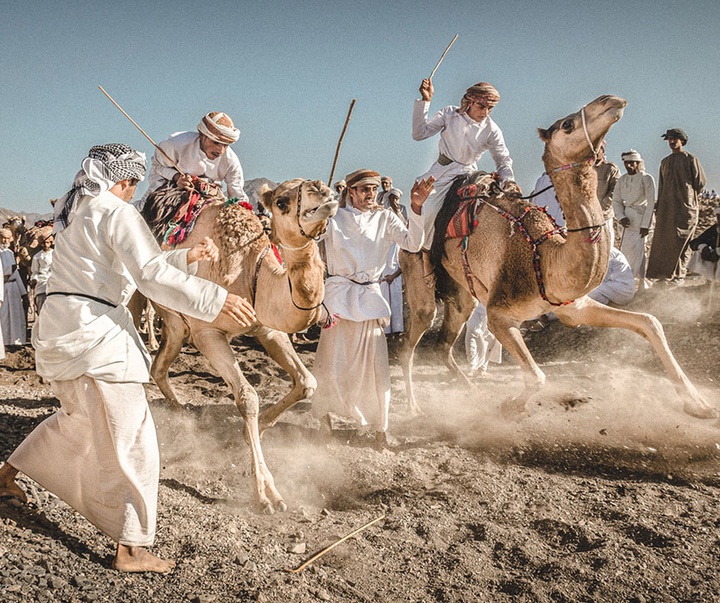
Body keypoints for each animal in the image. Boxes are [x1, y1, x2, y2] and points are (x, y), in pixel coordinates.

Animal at [148, 179, 338, 516]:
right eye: (282, 202)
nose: (323, 191)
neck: (249, 271)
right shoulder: (207, 331)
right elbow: (248, 397)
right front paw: (266, 494)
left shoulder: (267, 328)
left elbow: (307, 382)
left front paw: (257, 430)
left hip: (174, 321)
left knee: (160, 363)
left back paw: (182, 413)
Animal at [402, 95, 716, 420]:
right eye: (567, 125)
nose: (611, 100)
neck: (543, 258)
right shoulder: (500, 315)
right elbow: (538, 376)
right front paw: (510, 404)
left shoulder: (573, 307)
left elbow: (649, 322)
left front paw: (698, 403)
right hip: (416, 268)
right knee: (410, 341)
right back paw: (413, 406)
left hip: (462, 291)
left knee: (443, 343)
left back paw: (470, 391)